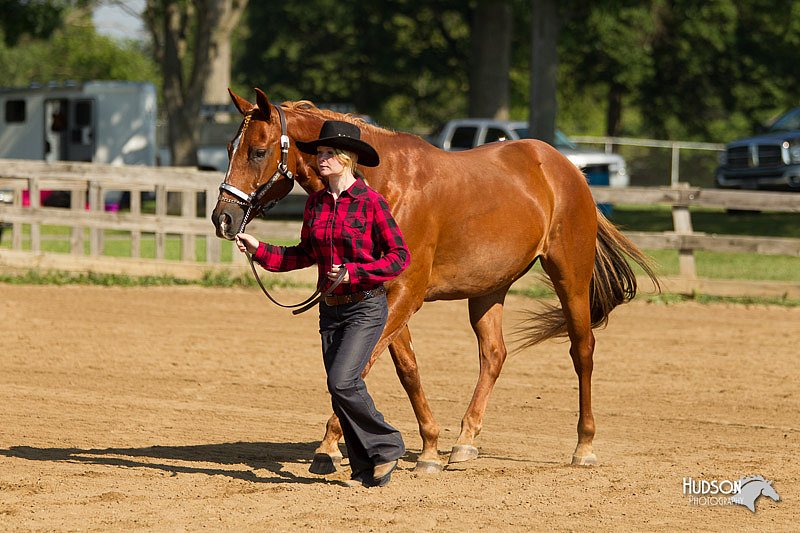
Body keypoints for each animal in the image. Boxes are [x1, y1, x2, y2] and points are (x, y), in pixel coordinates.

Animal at [209, 88, 660, 474]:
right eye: (230, 149)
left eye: (258, 151)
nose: (223, 219)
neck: (385, 181)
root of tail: (565, 167)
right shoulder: (388, 296)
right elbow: (405, 369)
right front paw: (428, 447)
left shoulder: (405, 293)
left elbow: (363, 364)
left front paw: (328, 447)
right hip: (488, 289)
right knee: (494, 355)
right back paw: (465, 442)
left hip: (571, 276)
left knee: (582, 351)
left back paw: (584, 446)